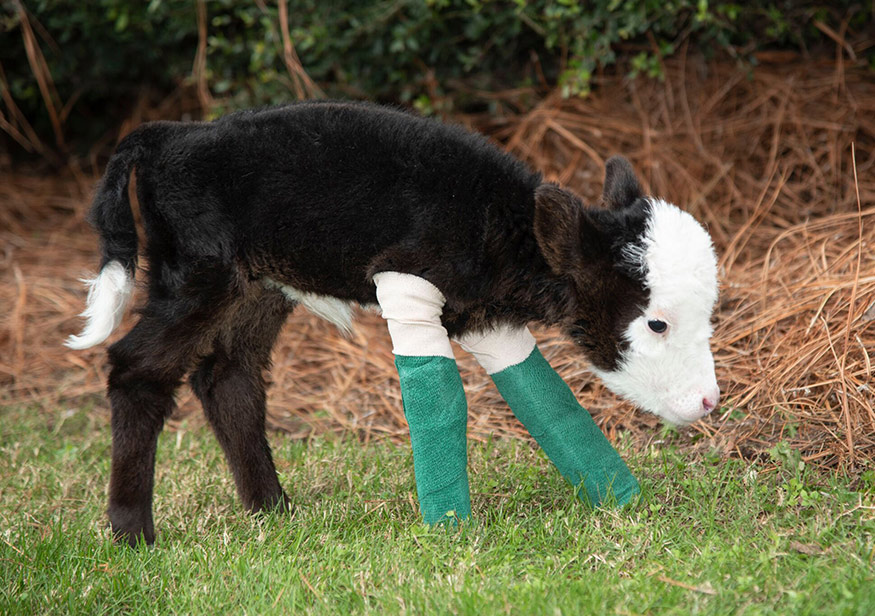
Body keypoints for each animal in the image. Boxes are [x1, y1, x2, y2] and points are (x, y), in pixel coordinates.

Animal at [68, 102, 720, 548]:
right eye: (656, 324)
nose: (710, 402)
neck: (498, 226)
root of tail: (173, 133)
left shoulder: (482, 315)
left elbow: (545, 397)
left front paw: (620, 498)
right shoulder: (406, 281)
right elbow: (442, 397)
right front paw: (450, 528)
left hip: (258, 284)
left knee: (229, 377)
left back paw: (273, 510)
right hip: (198, 274)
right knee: (138, 369)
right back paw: (132, 533)